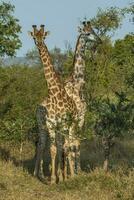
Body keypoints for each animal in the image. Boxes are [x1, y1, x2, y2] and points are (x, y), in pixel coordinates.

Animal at [29, 24, 77, 183]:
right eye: (34, 36)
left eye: (43, 36)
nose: (39, 43)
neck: (54, 93)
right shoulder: (51, 124)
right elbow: (53, 148)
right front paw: (52, 179)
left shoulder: (62, 124)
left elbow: (62, 147)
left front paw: (61, 178)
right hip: (45, 126)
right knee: (45, 145)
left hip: (71, 125)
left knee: (69, 144)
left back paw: (71, 175)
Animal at [63, 21, 101, 173]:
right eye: (87, 33)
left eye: (94, 30)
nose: (99, 40)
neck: (78, 81)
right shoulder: (76, 117)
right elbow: (73, 144)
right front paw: (74, 172)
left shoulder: (82, 116)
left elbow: (77, 143)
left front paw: (77, 171)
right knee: (66, 143)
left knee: (67, 142)